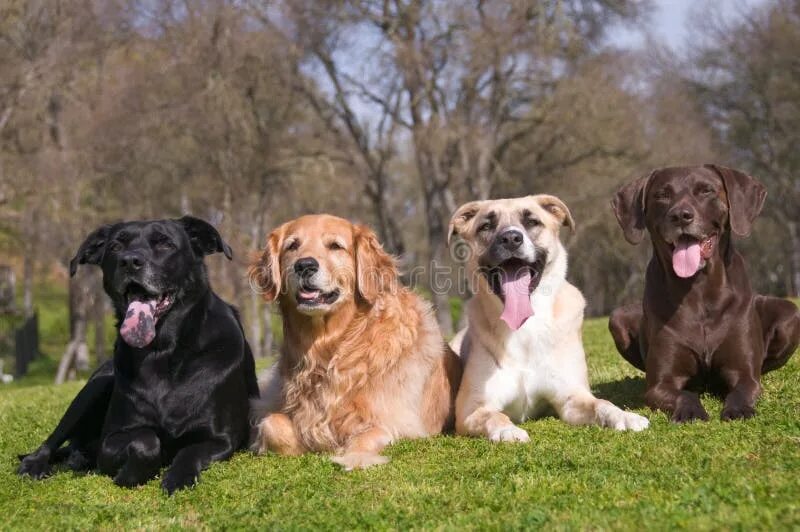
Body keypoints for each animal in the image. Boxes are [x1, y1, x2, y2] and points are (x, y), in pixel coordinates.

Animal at [17, 216, 258, 494]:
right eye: (115, 246)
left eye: (165, 243)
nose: (130, 261)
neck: (163, 351)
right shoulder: (110, 440)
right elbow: (146, 441)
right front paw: (129, 475)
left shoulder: (223, 438)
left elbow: (190, 452)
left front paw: (179, 477)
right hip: (91, 389)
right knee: (54, 440)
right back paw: (37, 464)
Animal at [250, 213, 462, 470]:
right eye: (292, 246)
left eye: (335, 246)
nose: (304, 265)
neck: (332, 347)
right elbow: (273, 425)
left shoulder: (398, 421)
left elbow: (369, 435)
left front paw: (354, 457)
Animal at [446, 194, 648, 440]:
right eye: (486, 226)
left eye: (532, 221)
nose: (511, 238)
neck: (525, 325)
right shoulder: (471, 408)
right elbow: (494, 416)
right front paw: (507, 431)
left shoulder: (571, 397)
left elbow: (602, 403)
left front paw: (626, 416)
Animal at [608, 164, 796, 422]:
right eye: (662, 195)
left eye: (706, 190)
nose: (681, 216)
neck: (699, 289)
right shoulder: (660, 385)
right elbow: (683, 394)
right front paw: (690, 411)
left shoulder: (744, 374)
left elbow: (742, 389)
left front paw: (738, 410)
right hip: (617, 318)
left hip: (790, 313)